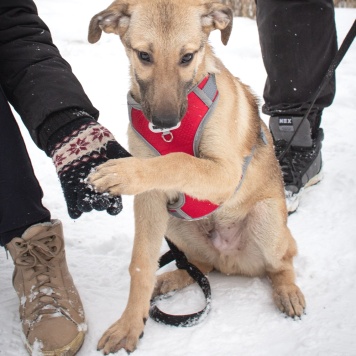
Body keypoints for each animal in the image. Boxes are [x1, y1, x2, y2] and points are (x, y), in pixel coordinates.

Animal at [87, 2, 304, 354]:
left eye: (187, 57)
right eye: (144, 56)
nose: (164, 122)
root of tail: (229, 259)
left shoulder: (225, 172)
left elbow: (179, 161)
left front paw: (125, 171)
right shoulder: (151, 201)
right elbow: (140, 264)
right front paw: (130, 324)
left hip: (267, 219)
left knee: (282, 263)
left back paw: (287, 290)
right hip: (175, 225)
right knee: (200, 266)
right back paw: (168, 279)